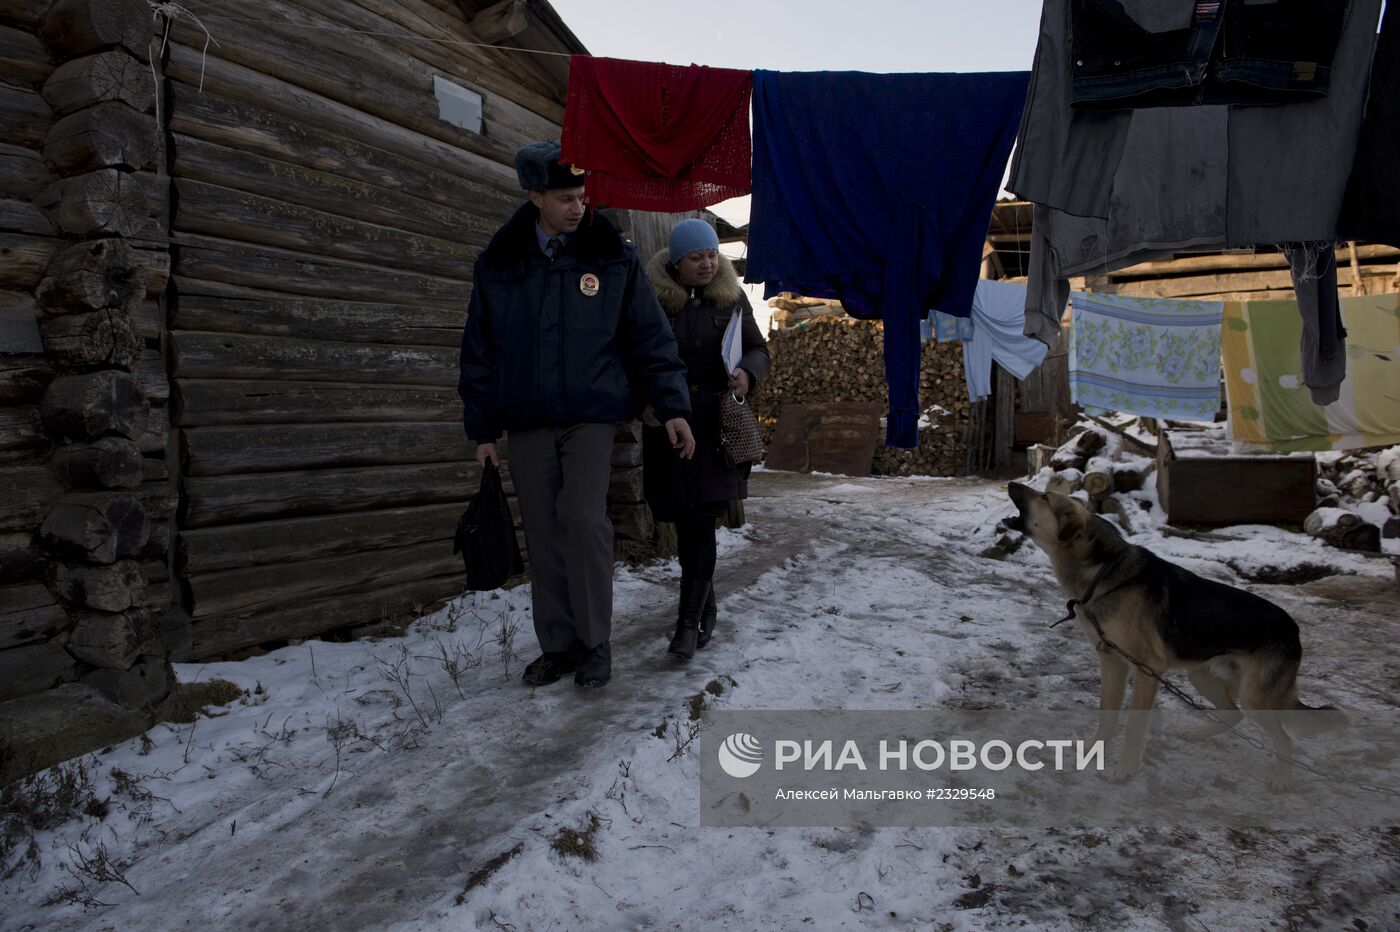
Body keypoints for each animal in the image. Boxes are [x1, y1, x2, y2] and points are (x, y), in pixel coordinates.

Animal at [1008, 481, 1344, 789]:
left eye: (1044, 496)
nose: (1012, 483)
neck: (1103, 573)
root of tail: (1293, 628)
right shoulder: (1112, 662)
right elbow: (1107, 716)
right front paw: (1093, 751)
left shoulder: (1146, 671)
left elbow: (1133, 726)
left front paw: (1126, 769)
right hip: (1202, 676)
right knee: (1233, 715)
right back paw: (1195, 734)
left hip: (1254, 696)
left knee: (1284, 738)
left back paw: (1282, 779)